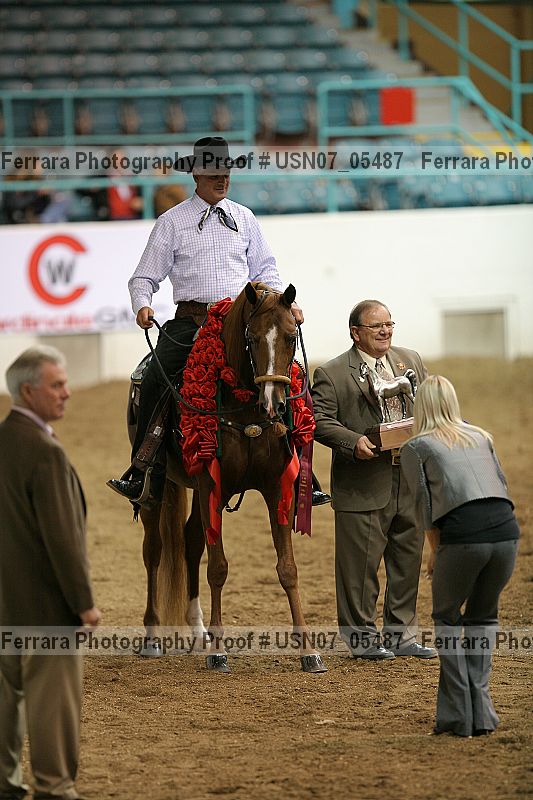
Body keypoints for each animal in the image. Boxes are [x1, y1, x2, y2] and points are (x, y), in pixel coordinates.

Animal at [133, 282, 327, 674]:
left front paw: (308, 650)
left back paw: (197, 630)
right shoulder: (213, 486)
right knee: (154, 550)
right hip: (155, 492)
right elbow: (218, 568)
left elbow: (288, 569)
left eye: (290, 336)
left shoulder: (276, 488)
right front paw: (219, 651)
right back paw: (153, 636)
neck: (248, 412)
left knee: (190, 541)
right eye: (251, 338)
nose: (274, 403)